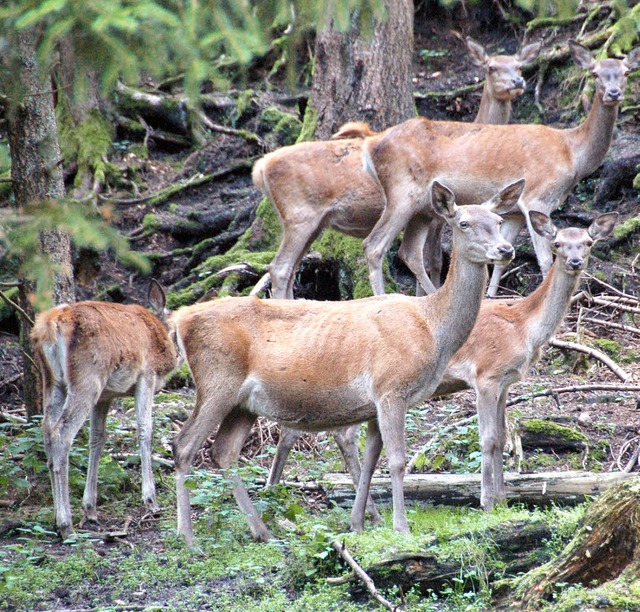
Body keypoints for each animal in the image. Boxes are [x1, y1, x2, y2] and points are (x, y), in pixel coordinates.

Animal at [171, 178, 524, 544]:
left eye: (498, 221)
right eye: (464, 223)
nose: (505, 250)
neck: (431, 329)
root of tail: (179, 320)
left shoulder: (375, 402)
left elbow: (370, 462)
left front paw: (357, 524)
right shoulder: (390, 387)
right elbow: (397, 460)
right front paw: (401, 527)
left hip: (243, 404)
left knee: (224, 452)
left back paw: (263, 531)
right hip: (216, 381)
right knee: (184, 446)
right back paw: (188, 538)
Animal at [252, 37, 536, 300]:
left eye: (519, 66)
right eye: (491, 67)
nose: (516, 83)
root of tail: (260, 169)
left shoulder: (429, 215)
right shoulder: (437, 215)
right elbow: (432, 258)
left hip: (316, 221)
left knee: (290, 269)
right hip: (305, 214)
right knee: (285, 266)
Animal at [362, 39, 636, 298]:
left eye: (626, 72)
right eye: (595, 74)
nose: (613, 93)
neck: (572, 155)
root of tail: (371, 146)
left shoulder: (514, 212)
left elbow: (502, 261)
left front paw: (491, 295)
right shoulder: (537, 196)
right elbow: (544, 258)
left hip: (423, 208)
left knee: (409, 251)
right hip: (401, 194)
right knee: (374, 246)